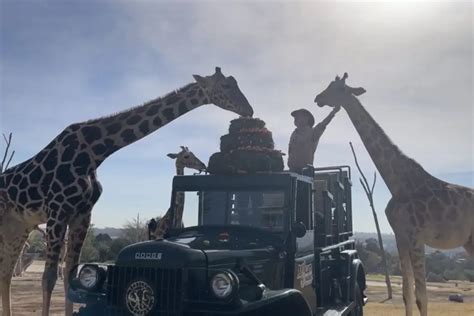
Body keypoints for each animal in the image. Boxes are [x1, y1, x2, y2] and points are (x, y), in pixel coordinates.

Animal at [0, 65, 254, 314]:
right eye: (226, 86)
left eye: (236, 83)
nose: (249, 110)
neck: (94, 151)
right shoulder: (58, 211)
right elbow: (49, 278)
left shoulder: (82, 214)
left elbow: (70, 275)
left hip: (17, 227)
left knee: (6, 273)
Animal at [314, 73, 474, 314]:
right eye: (329, 85)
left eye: (338, 88)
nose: (318, 99)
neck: (397, 183)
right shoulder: (401, 237)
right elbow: (408, 293)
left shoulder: (416, 236)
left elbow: (422, 296)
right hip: (469, 241)